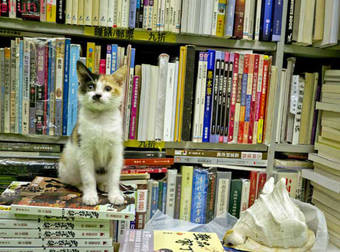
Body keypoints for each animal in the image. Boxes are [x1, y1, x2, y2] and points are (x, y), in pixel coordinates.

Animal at [58, 60, 127, 205]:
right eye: (90, 87)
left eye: (108, 88)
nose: (97, 95)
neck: (100, 120)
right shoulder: (84, 151)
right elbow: (89, 178)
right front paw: (90, 195)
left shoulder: (116, 152)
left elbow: (114, 178)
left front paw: (115, 194)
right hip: (67, 166)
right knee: (74, 181)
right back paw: (82, 186)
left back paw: (104, 184)